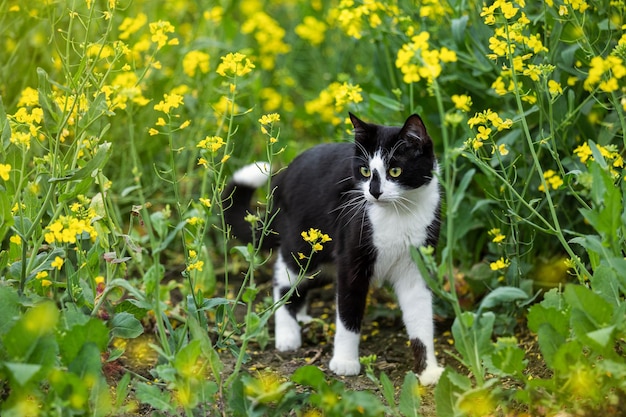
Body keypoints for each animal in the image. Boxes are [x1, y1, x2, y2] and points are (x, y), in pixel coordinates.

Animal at [222, 111, 442, 384]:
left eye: (395, 170)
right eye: (365, 171)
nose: (374, 192)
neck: (399, 213)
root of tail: (284, 175)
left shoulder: (417, 265)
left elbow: (420, 315)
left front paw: (428, 370)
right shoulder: (351, 259)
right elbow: (348, 312)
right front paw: (345, 362)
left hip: (324, 260)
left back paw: (301, 316)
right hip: (303, 243)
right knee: (284, 276)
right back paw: (287, 333)